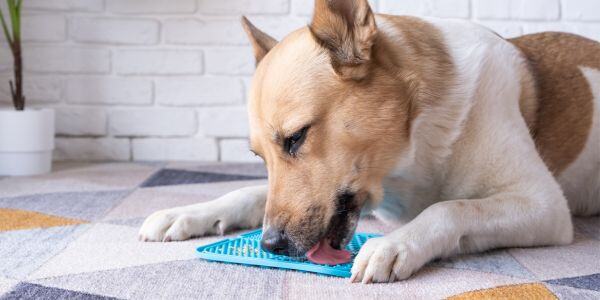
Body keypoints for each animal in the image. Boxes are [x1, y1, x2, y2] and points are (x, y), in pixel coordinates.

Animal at [138, 0, 596, 284]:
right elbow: (248, 192)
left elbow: (451, 207)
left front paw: (395, 245)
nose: (271, 246)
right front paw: (188, 212)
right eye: (258, 156)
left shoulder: (544, 206)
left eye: (296, 137)